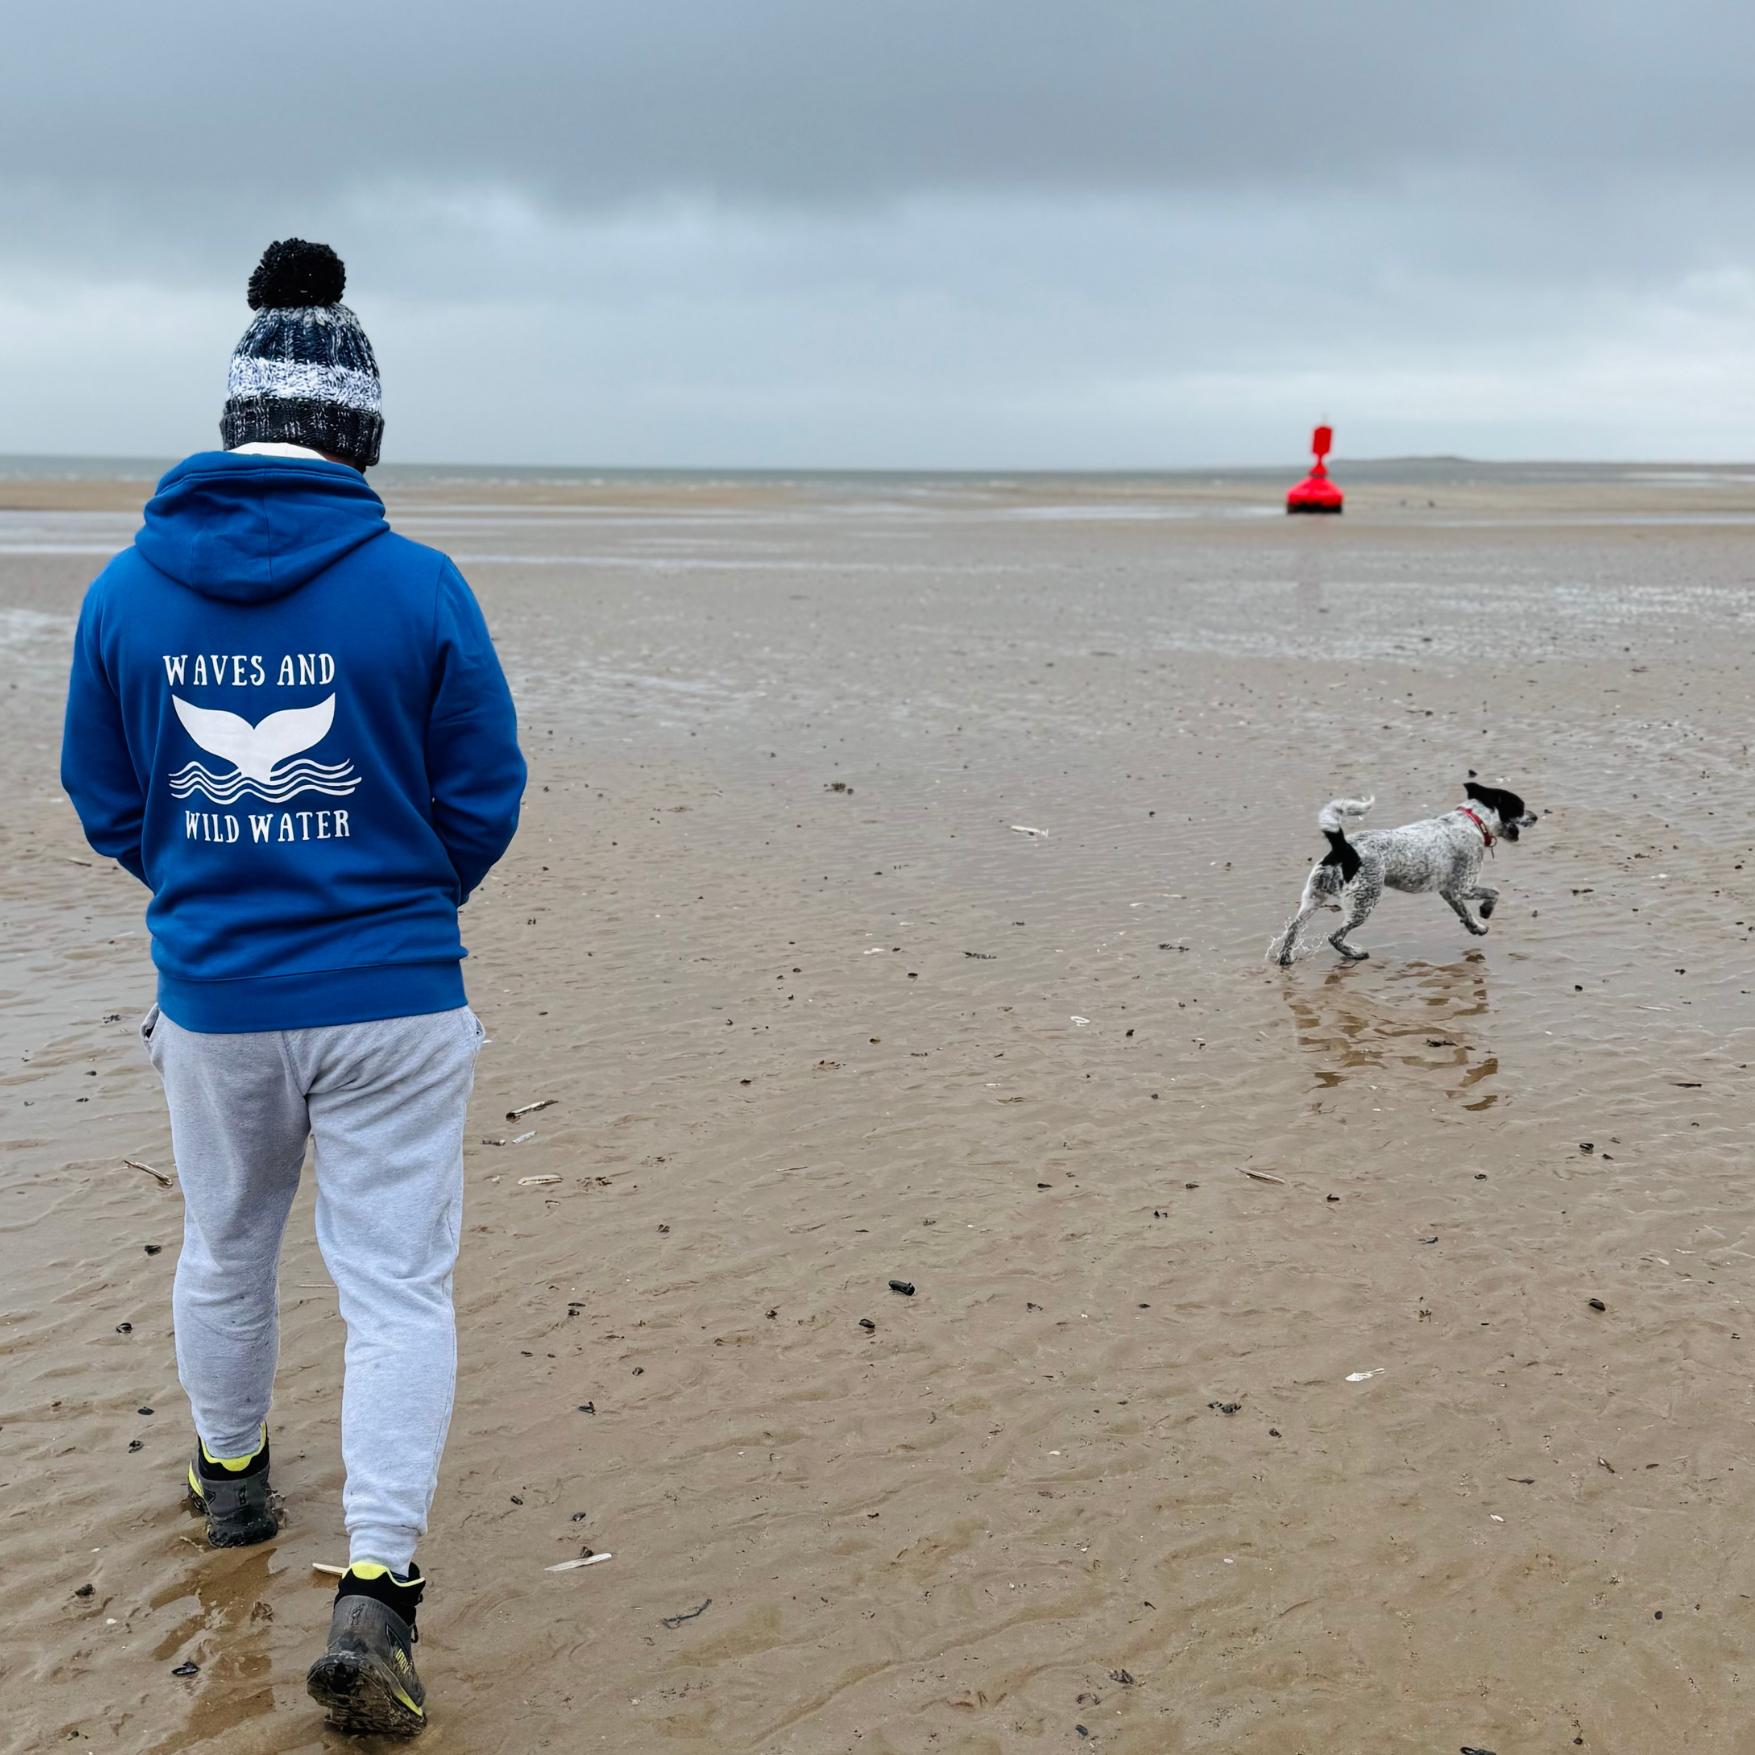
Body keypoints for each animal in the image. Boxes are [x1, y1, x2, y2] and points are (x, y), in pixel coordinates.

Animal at [1277, 786, 1537, 968]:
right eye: (1520, 806)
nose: (1535, 817)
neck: (1473, 821)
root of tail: (1343, 848)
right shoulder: (1464, 886)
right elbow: (1494, 893)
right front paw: (1486, 911)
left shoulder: (1449, 890)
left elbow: (1464, 912)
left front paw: (1475, 927)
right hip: (1364, 902)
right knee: (1334, 936)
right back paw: (1355, 953)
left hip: (1313, 897)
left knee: (1293, 928)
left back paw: (1285, 958)